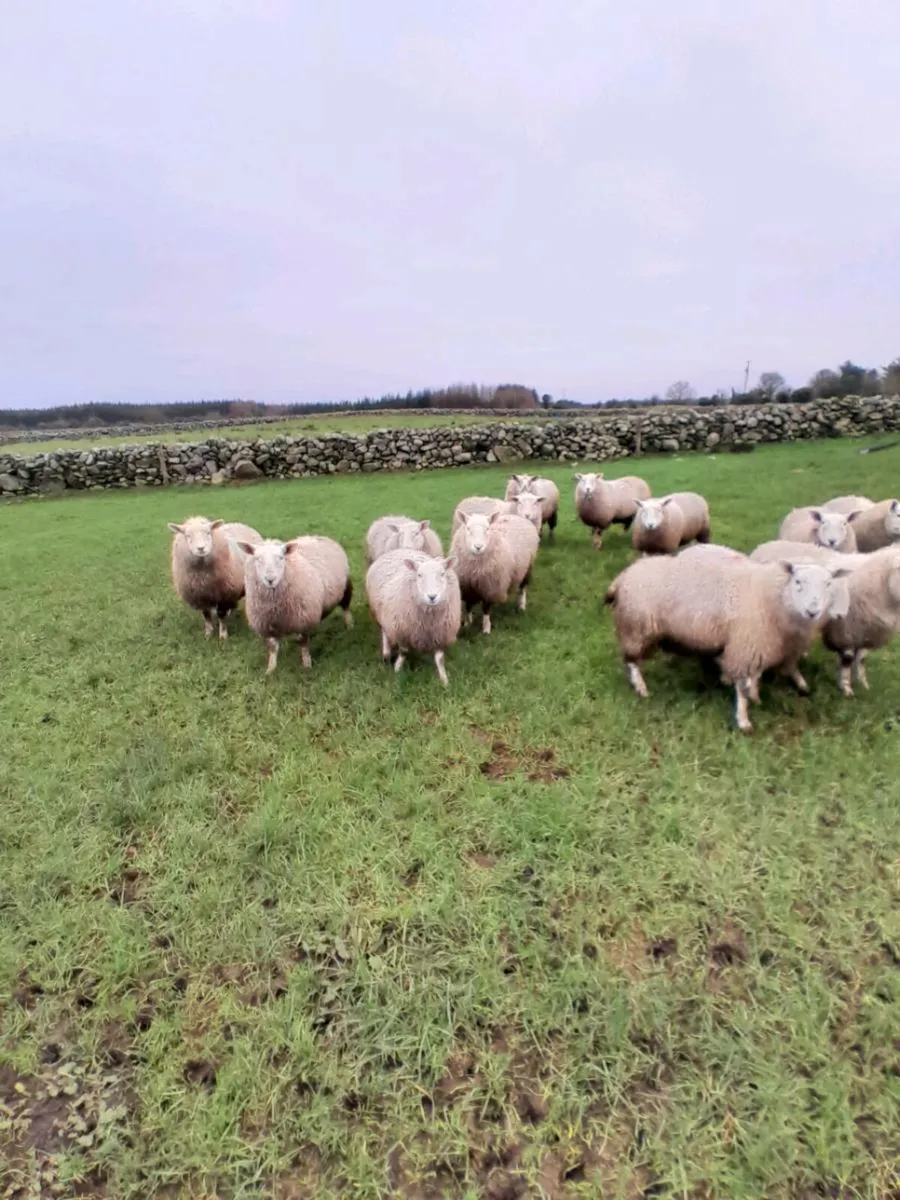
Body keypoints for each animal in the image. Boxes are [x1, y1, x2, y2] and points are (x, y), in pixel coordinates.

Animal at [234, 535, 352, 674]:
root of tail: (319, 536)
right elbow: (272, 648)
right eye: (257, 558)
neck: (274, 608)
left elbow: (303, 644)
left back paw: (349, 626)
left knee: (346, 607)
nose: (270, 579)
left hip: (345, 587)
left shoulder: (303, 620)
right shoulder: (267, 625)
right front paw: (270, 670)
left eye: (281, 557)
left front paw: (307, 666)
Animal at [365, 550, 462, 685]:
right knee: (384, 632)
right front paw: (397, 669)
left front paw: (444, 679)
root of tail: (399, 549)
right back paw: (386, 653)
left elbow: (439, 658)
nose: (432, 596)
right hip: (382, 614)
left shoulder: (441, 634)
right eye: (419, 575)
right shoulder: (401, 630)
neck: (429, 621)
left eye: (442, 574)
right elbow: (404, 652)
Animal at [604, 551, 848, 732]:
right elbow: (742, 687)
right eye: (798, 581)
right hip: (636, 627)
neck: (775, 597)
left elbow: (755, 677)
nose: (813, 611)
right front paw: (743, 720)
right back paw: (641, 688)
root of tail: (624, 575)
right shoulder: (746, 645)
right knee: (632, 661)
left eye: (828, 584)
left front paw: (756, 696)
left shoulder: (757, 645)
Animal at [750, 540, 900, 696]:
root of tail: (767, 545)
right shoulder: (846, 630)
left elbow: (861, 658)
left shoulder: (868, 631)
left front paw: (862, 683)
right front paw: (846, 687)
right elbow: (847, 658)